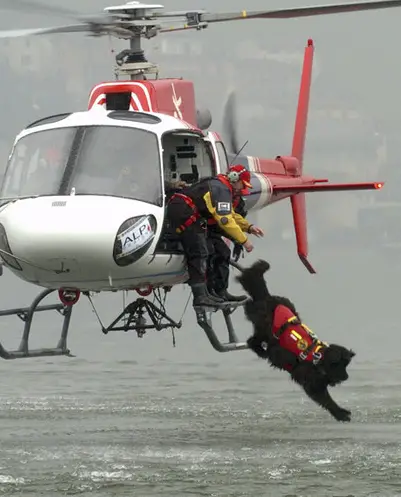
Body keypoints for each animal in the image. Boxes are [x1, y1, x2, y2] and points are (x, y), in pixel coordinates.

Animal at [236, 258, 354, 420]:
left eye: (346, 365)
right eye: (340, 365)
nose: (347, 377)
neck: (318, 359)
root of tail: (268, 297)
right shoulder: (311, 383)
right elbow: (326, 400)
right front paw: (340, 413)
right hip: (263, 326)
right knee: (253, 341)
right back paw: (260, 350)